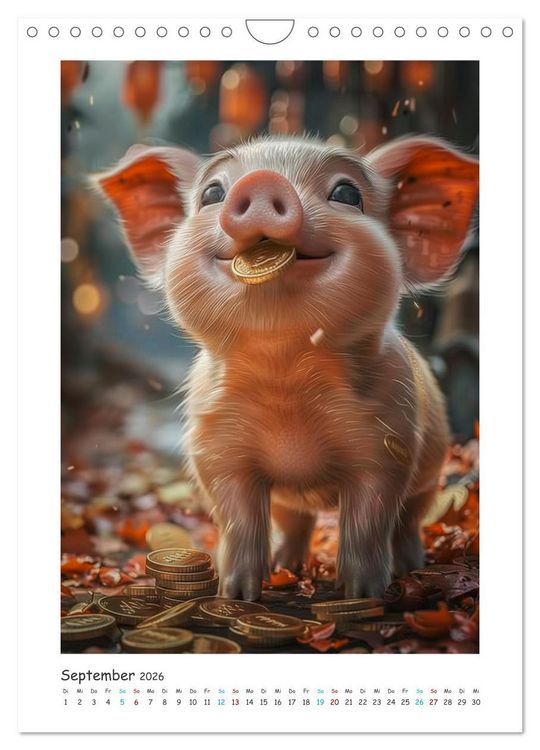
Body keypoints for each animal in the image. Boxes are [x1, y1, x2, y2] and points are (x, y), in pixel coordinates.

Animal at [96, 134, 479, 601]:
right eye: (212, 194)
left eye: (347, 193)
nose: (263, 181)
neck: (286, 375)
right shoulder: (215, 450)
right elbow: (238, 519)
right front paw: (236, 596)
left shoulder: (390, 444)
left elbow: (369, 519)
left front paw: (361, 595)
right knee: (294, 520)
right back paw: (286, 567)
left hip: (429, 472)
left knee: (407, 519)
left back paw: (409, 568)